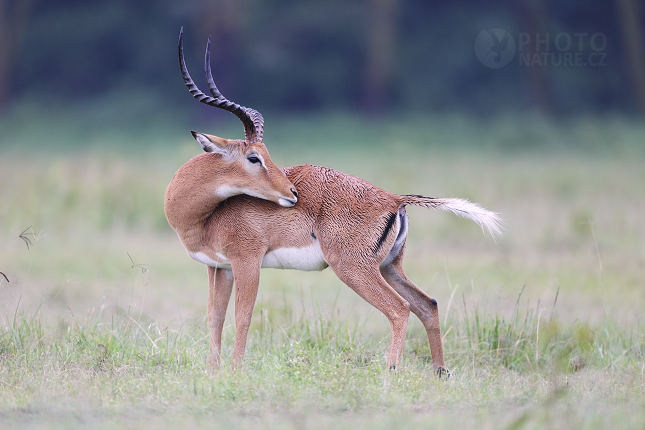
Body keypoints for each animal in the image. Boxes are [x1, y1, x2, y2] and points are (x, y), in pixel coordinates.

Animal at [166, 28, 504, 374]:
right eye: (253, 157)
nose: (292, 193)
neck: (206, 216)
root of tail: (392, 199)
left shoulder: (247, 261)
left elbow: (243, 317)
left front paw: (235, 372)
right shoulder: (219, 267)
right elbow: (214, 318)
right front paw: (213, 372)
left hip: (353, 268)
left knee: (400, 308)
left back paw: (390, 373)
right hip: (388, 266)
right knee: (427, 304)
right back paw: (439, 374)